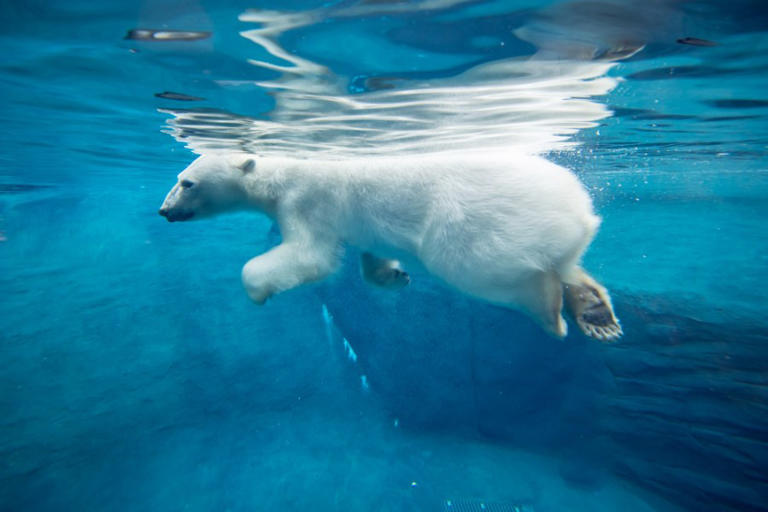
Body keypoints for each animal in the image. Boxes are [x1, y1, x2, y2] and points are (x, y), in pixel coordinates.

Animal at [159, 154, 620, 342]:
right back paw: (596, 312)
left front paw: (257, 290)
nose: (164, 211)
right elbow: (370, 256)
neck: (279, 177)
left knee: (488, 270)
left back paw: (550, 312)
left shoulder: (306, 204)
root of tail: (578, 207)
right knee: (568, 263)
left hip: (474, 223)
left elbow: (311, 256)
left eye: (187, 182)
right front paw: (395, 276)